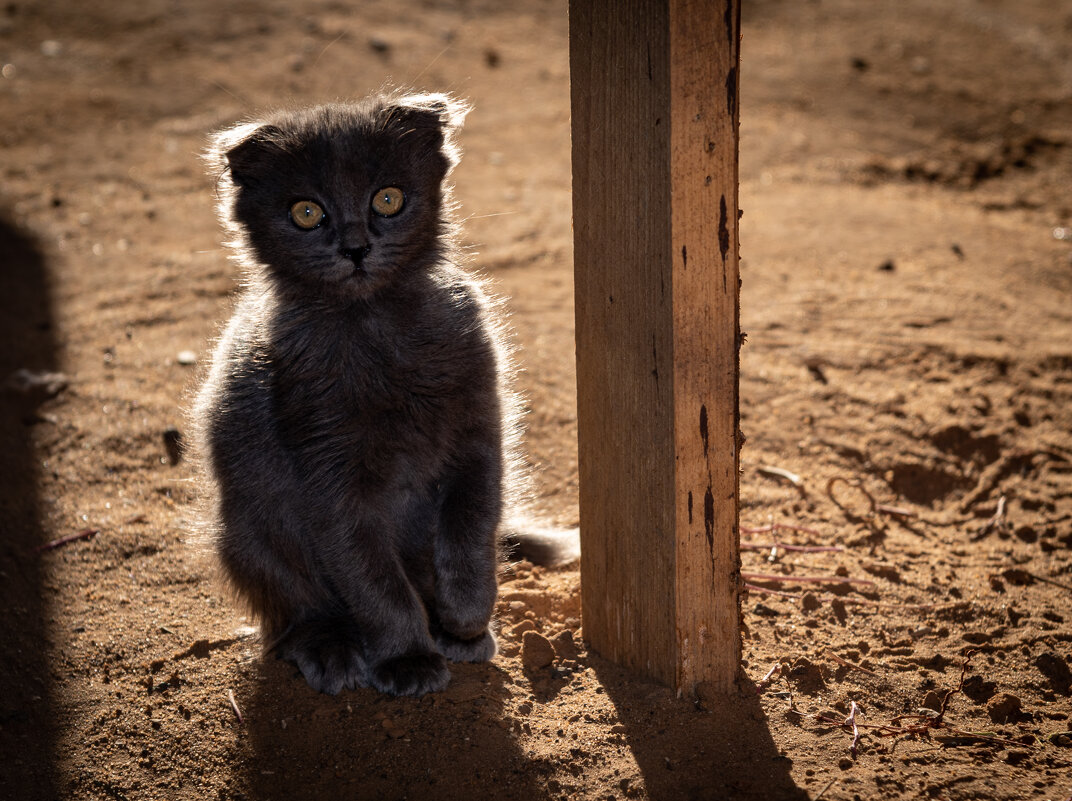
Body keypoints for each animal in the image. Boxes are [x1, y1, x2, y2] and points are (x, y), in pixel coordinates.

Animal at [197, 92, 574, 694]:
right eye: (306, 212)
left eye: (388, 199)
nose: (356, 248)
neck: (376, 327)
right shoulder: (329, 479)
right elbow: (374, 583)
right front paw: (407, 658)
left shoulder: (479, 436)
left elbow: (472, 531)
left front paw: (465, 617)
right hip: (250, 530)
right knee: (295, 611)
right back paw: (330, 649)